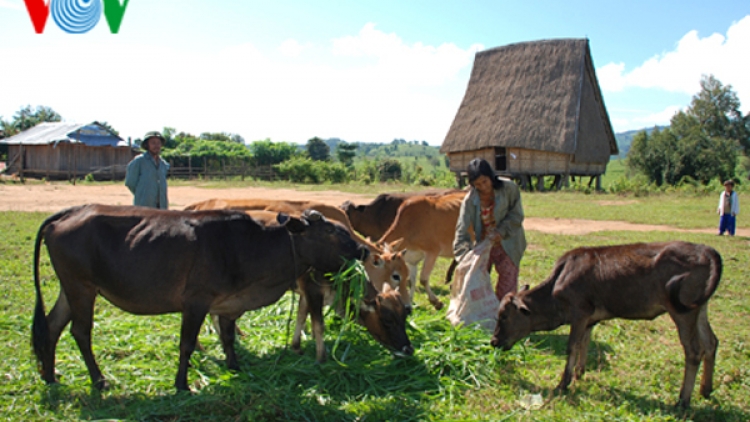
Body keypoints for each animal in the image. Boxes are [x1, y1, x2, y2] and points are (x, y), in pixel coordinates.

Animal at [30, 203, 368, 390]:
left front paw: (235, 366)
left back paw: (50, 375)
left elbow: (229, 338)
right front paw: (181, 384)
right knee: (80, 331)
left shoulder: (228, 304)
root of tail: (73, 211)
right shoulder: (195, 302)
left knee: (52, 325)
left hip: (70, 288)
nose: (363, 250)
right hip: (81, 287)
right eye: (333, 232)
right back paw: (98, 380)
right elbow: (187, 344)